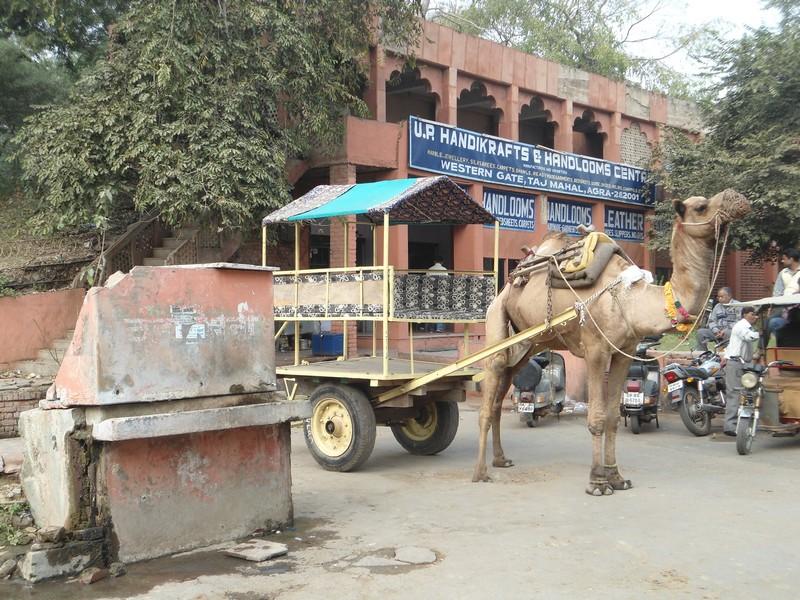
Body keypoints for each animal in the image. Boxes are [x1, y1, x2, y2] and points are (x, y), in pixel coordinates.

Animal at [472, 189, 752, 492]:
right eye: (701, 207)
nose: (737, 198)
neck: (631, 300)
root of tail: (509, 282)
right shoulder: (595, 350)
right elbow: (596, 417)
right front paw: (597, 480)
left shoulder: (623, 353)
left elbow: (613, 417)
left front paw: (616, 476)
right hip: (496, 320)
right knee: (490, 388)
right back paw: (480, 471)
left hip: (529, 342)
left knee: (503, 390)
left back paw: (501, 459)